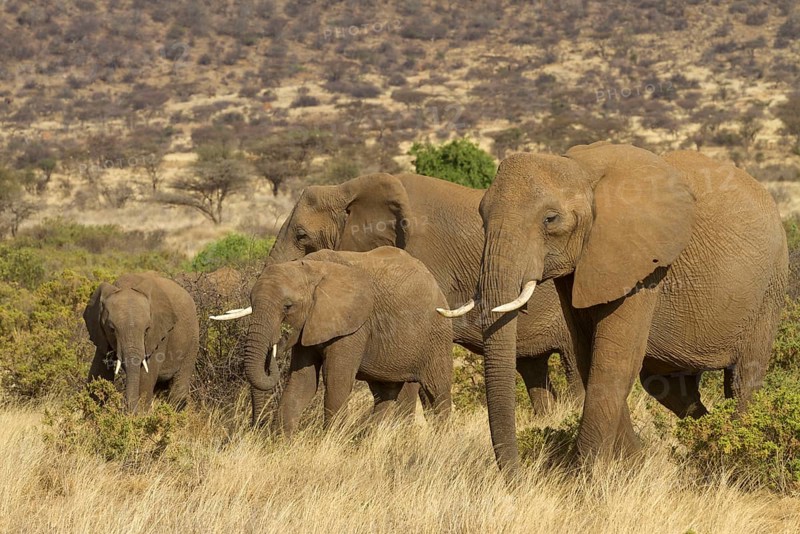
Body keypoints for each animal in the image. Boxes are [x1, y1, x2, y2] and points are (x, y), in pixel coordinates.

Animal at [84, 272, 200, 412]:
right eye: (111, 329)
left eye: (147, 330)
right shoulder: (100, 334)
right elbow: (99, 372)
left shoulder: (159, 334)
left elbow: (146, 376)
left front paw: (139, 415)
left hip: (193, 341)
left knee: (179, 386)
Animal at [242, 247, 453, 435]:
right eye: (250, 301)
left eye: (287, 306)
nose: (255, 427)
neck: (312, 269)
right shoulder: (309, 324)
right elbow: (302, 382)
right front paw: (280, 443)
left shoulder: (354, 327)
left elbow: (336, 382)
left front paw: (331, 441)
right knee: (385, 392)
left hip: (437, 335)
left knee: (438, 392)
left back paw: (441, 439)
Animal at [451, 141, 788, 474]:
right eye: (482, 217)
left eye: (550, 219)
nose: (518, 477)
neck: (581, 169)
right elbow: (589, 358)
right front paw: (632, 468)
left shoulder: (643, 265)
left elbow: (613, 361)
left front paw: (584, 477)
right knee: (671, 389)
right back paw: (704, 447)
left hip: (769, 291)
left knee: (742, 380)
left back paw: (732, 462)